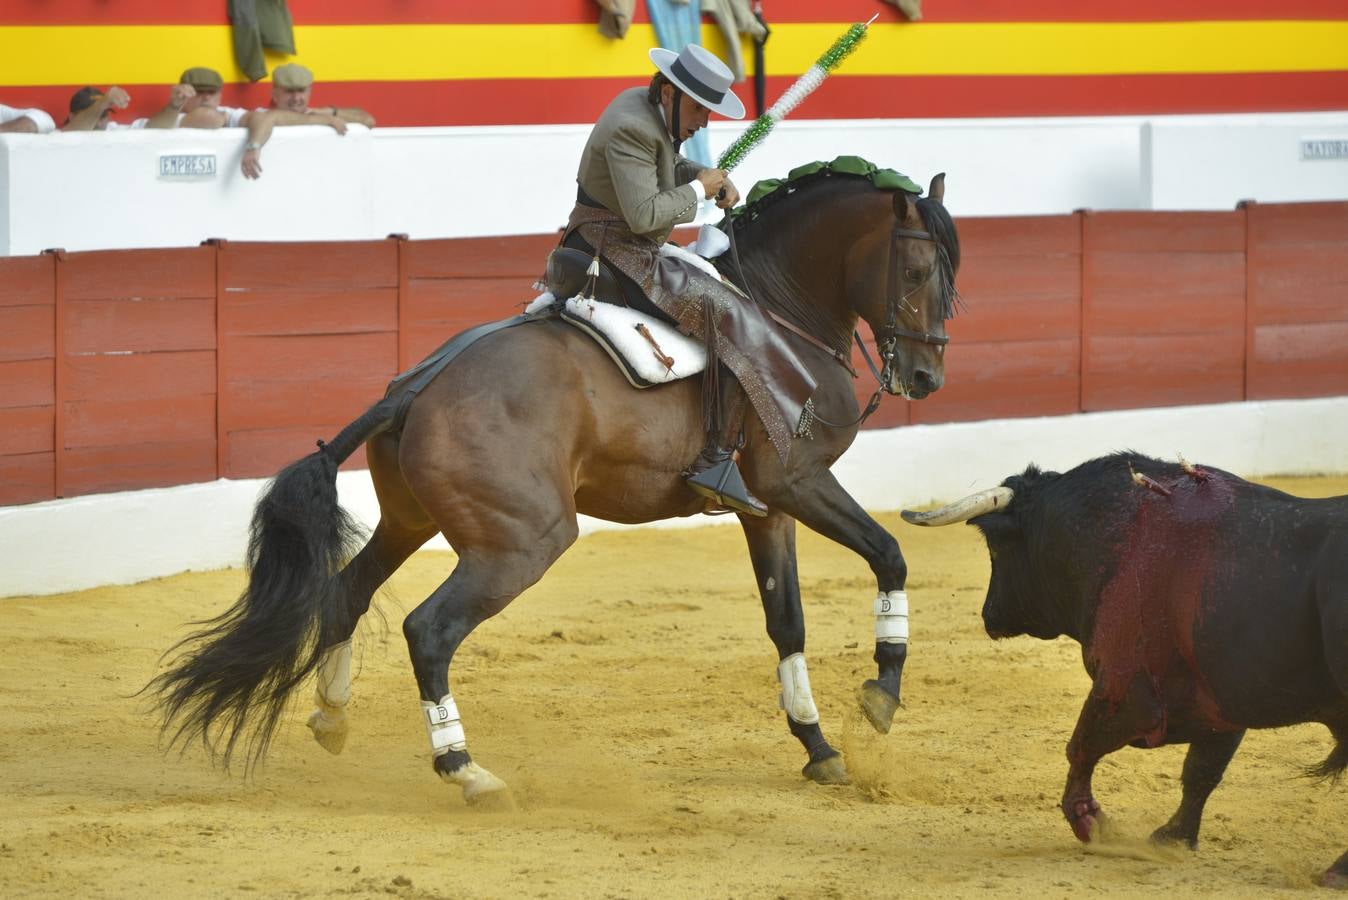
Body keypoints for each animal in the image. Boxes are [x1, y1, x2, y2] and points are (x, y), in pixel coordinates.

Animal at [150, 167, 959, 802]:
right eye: (918, 274)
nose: (925, 377)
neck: (779, 309)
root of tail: (413, 390)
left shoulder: (766, 510)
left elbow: (786, 620)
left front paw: (818, 746)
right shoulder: (800, 482)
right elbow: (889, 552)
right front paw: (881, 695)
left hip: (412, 521)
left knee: (348, 591)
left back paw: (333, 715)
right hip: (525, 541)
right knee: (428, 629)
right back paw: (467, 770)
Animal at [900, 452, 1348, 883]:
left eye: (997, 548)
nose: (989, 614)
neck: (1115, 537)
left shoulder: (1125, 689)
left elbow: (1081, 746)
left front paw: (1092, 824)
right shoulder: (1222, 705)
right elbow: (1201, 772)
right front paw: (1172, 839)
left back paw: (1335, 871)